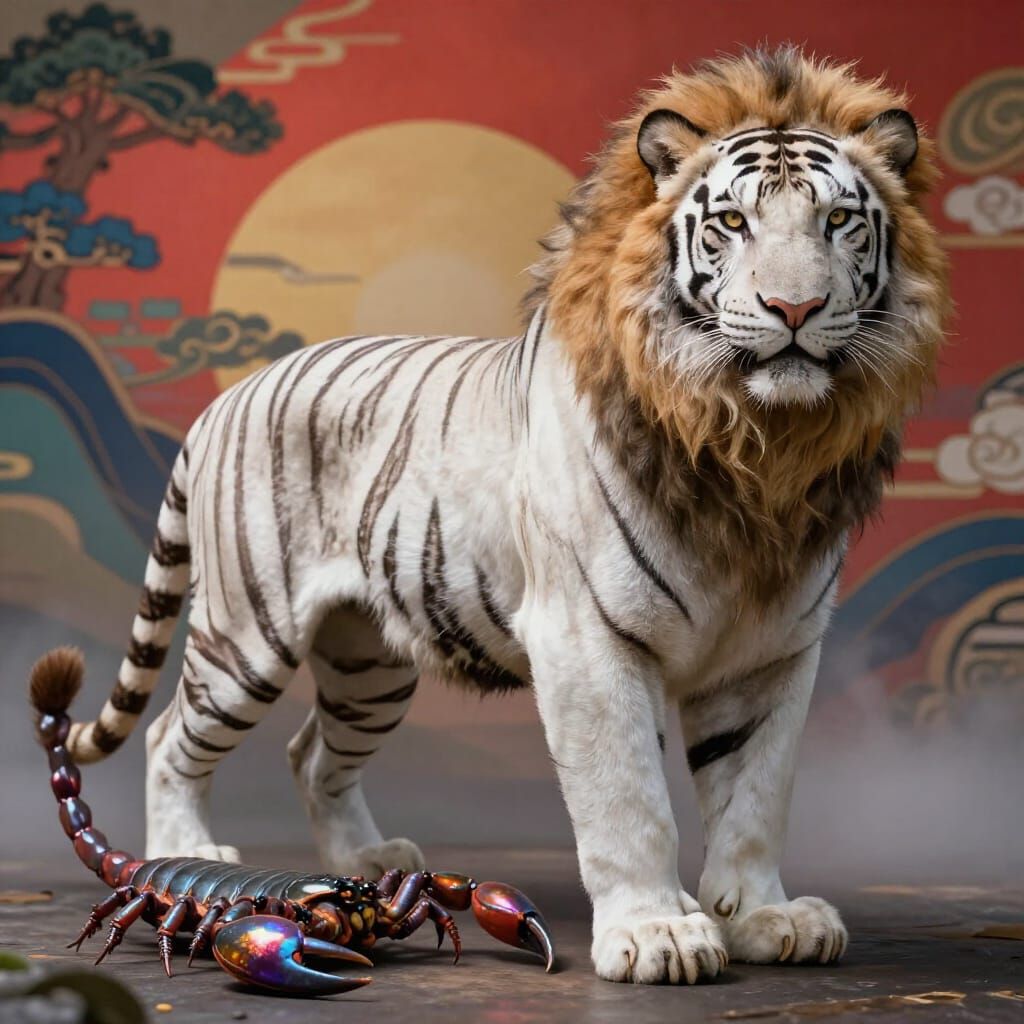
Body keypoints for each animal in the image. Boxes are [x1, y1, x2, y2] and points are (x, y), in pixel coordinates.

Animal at [41, 46, 948, 984]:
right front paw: (658, 931)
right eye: (731, 222)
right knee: (167, 739)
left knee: (312, 754)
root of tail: (227, 399)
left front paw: (765, 916)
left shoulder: (775, 653)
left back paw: (364, 863)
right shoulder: (587, 635)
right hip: (247, 636)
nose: (794, 310)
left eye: (839, 220)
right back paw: (193, 854)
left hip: (368, 664)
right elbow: (629, 798)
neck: (756, 447)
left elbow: (757, 797)